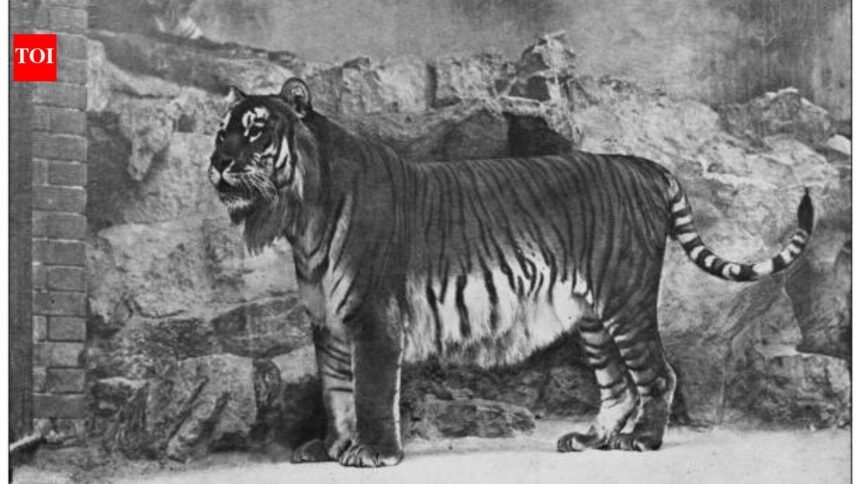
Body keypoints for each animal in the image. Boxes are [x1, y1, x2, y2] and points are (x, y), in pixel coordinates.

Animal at [208, 78, 814, 467]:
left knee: (658, 375)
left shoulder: (372, 318)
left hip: (626, 299)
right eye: (221, 132)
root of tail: (643, 165)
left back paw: (641, 441)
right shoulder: (327, 321)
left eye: (256, 130)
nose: (217, 163)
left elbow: (371, 390)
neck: (302, 216)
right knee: (616, 385)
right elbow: (336, 389)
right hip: (592, 317)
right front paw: (330, 448)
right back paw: (588, 439)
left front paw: (374, 453)